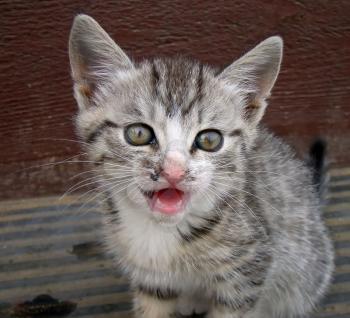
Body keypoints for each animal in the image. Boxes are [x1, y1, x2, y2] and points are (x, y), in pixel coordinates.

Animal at [67, 13, 334, 316]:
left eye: (209, 139)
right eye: (138, 133)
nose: (174, 170)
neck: (160, 233)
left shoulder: (248, 270)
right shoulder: (151, 279)